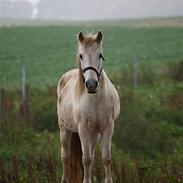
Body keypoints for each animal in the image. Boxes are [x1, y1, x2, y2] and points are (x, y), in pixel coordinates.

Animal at [56, 30, 120, 182]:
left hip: (94, 134)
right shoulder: (83, 129)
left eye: (100, 55)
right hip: (65, 130)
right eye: (81, 55)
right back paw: (64, 179)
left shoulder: (107, 127)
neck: (94, 99)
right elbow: (86, 159)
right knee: (65, 157)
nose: (91, 84)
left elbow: (106, 158)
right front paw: (86, 180)